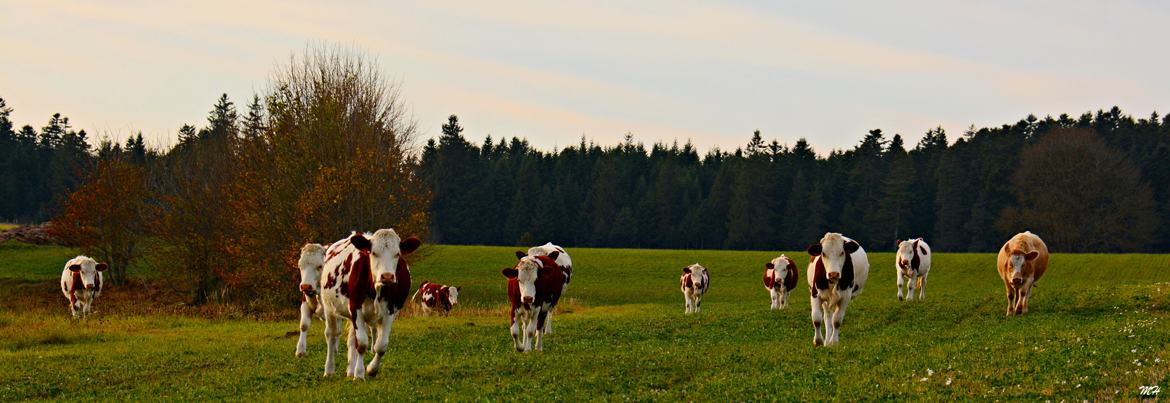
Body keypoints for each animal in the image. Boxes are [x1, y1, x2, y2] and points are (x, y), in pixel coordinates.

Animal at [315, 228, 421, 379]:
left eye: (397, 254)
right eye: (374, 253)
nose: (387, 276)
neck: (376, 290)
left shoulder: (390, 311)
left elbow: (381, 346)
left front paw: (371, 369)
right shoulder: (355, 308)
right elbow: (362, 344)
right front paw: (359, 374)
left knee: (352, 340)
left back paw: (350, 371)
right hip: (329, 308)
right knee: (331, 336)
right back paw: (329, 370)